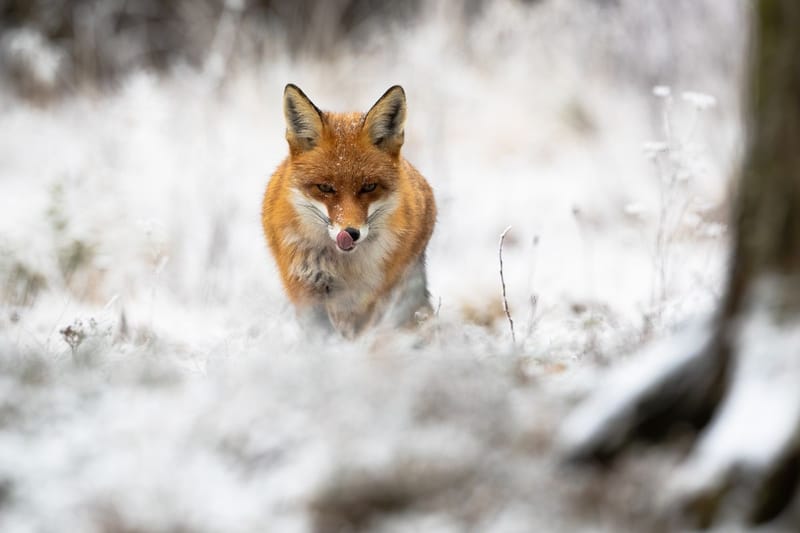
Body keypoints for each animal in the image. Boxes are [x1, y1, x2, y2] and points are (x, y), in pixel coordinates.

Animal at [262, 83, 438, 336]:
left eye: (369, 187)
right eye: (325, 187)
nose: (351, 233)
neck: (344, 266)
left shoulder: (369, 296)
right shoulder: (306, 287)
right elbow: (320, 335)